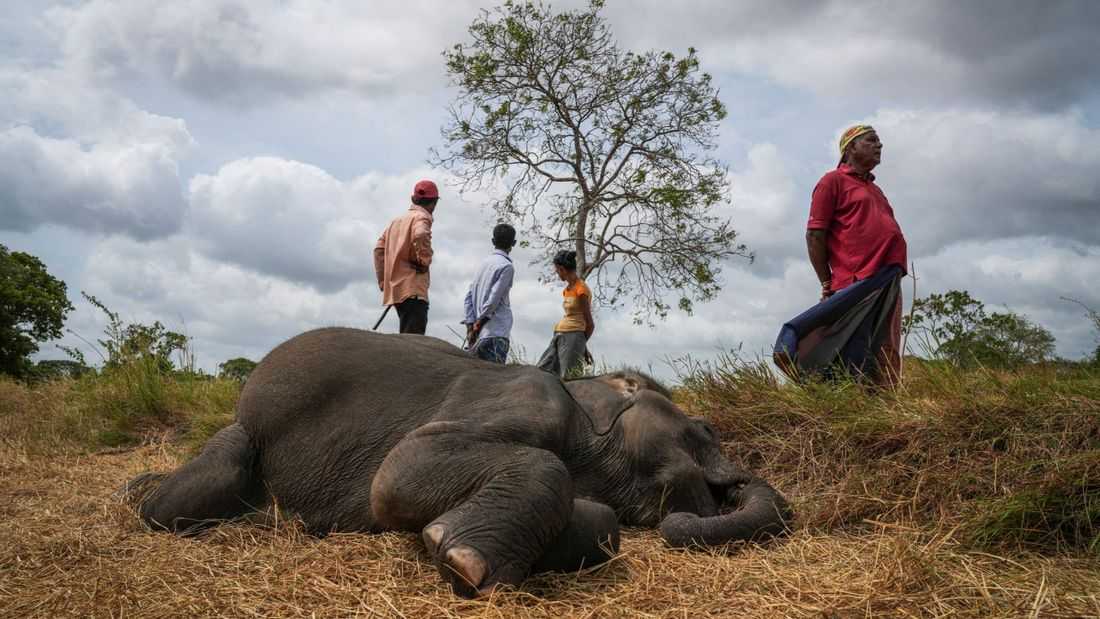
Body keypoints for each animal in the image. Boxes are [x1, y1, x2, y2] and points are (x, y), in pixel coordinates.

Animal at [130, 328, 791, 597]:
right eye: (703, 429)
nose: (722, 491)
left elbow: (604, 524)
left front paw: (445, 543)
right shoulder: (525, 398)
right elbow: (401, 470)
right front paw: (460, 560)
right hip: (247, 435)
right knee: (188, 494)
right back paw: (136, 493)